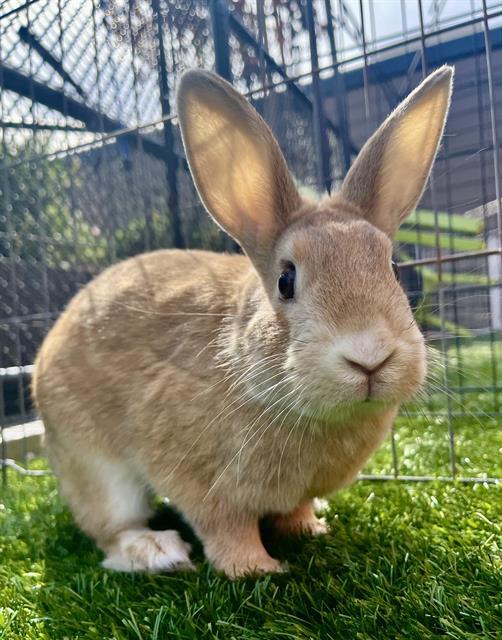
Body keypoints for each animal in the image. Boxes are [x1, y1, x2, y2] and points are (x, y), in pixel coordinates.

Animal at [33, 65, 453, 578]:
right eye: (286, 280)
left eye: (392, 267)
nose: (370, 358)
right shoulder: (198, 479)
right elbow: (225, 528)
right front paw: (258, 569)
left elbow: (295, 508)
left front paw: (309, 528)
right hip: (95, 468)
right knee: (111, 529)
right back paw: (156, 550)